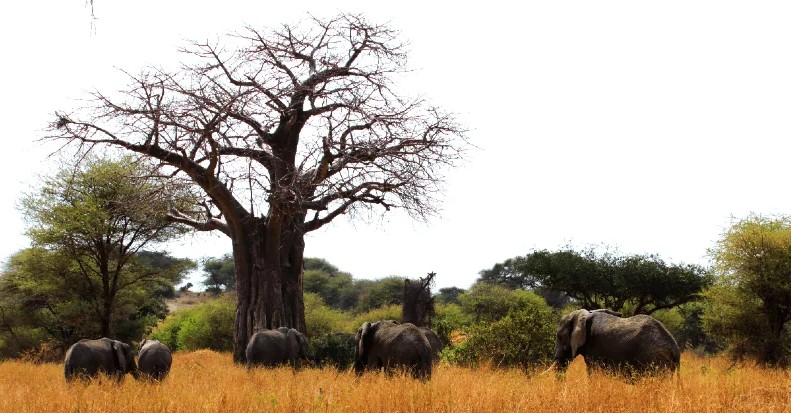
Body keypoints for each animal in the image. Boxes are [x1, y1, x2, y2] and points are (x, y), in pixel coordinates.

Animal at [550, 309, 680, 377]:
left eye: (560, 337)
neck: (586, 315)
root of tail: (675, 348)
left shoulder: (594, 348)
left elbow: (593, 372)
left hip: (654, 358)